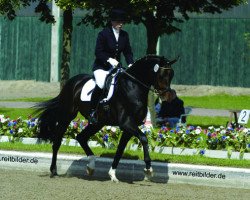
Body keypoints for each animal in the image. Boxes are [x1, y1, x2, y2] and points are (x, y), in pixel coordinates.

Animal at [35, 54, 176, 181]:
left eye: (172, 75)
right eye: (162, 75)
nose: (169, 96)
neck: (132, 86)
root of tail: (72, 82)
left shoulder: (129, 127)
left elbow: (120, 150)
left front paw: (112, 174)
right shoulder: (126, 123)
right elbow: (144, 138)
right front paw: (148, 169)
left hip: (98, 123)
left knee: (81, 137)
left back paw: (91, 166)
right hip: (67, 115)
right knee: (57, 142)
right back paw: (53, 171)